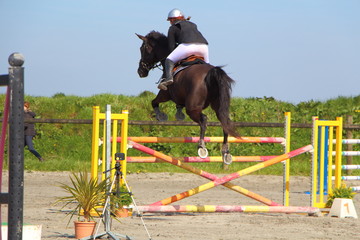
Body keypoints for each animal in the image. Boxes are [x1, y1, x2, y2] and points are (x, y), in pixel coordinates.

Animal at [136, 31, 239, 164]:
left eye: (142, 49)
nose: (140, 71)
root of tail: (211, 73)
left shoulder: (165, 93)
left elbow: (154, 102)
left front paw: (161, 116)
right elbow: (177, 105)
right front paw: (179, 115)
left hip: (192, 108)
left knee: (203, 120)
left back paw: (202, 147)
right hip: (219, 106)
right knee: (224, 122)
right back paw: (226, 152)